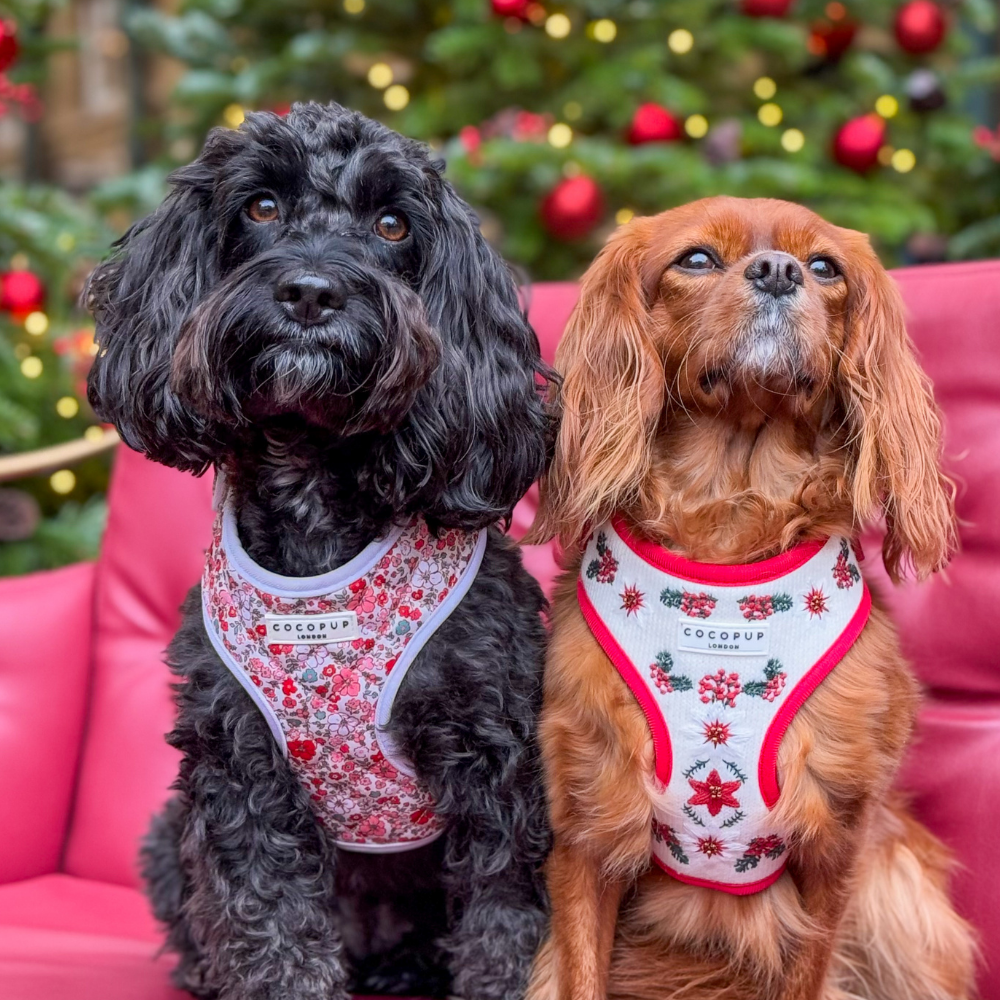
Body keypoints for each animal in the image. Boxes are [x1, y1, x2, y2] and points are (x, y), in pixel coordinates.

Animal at [87, 99, 556, 1000]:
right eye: (262, 207)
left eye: (392, 224)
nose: (311, 291)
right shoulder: (241, 769)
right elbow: (269, 931)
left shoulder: (500, 763)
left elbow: (507, 924)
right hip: (167, 834)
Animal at [528, 197, 972, 1000]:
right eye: (698, 259)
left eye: (825, 266)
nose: (777, 270)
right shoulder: (589, 829)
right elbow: (578, 973)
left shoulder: (836, 844)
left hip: (898, 894)